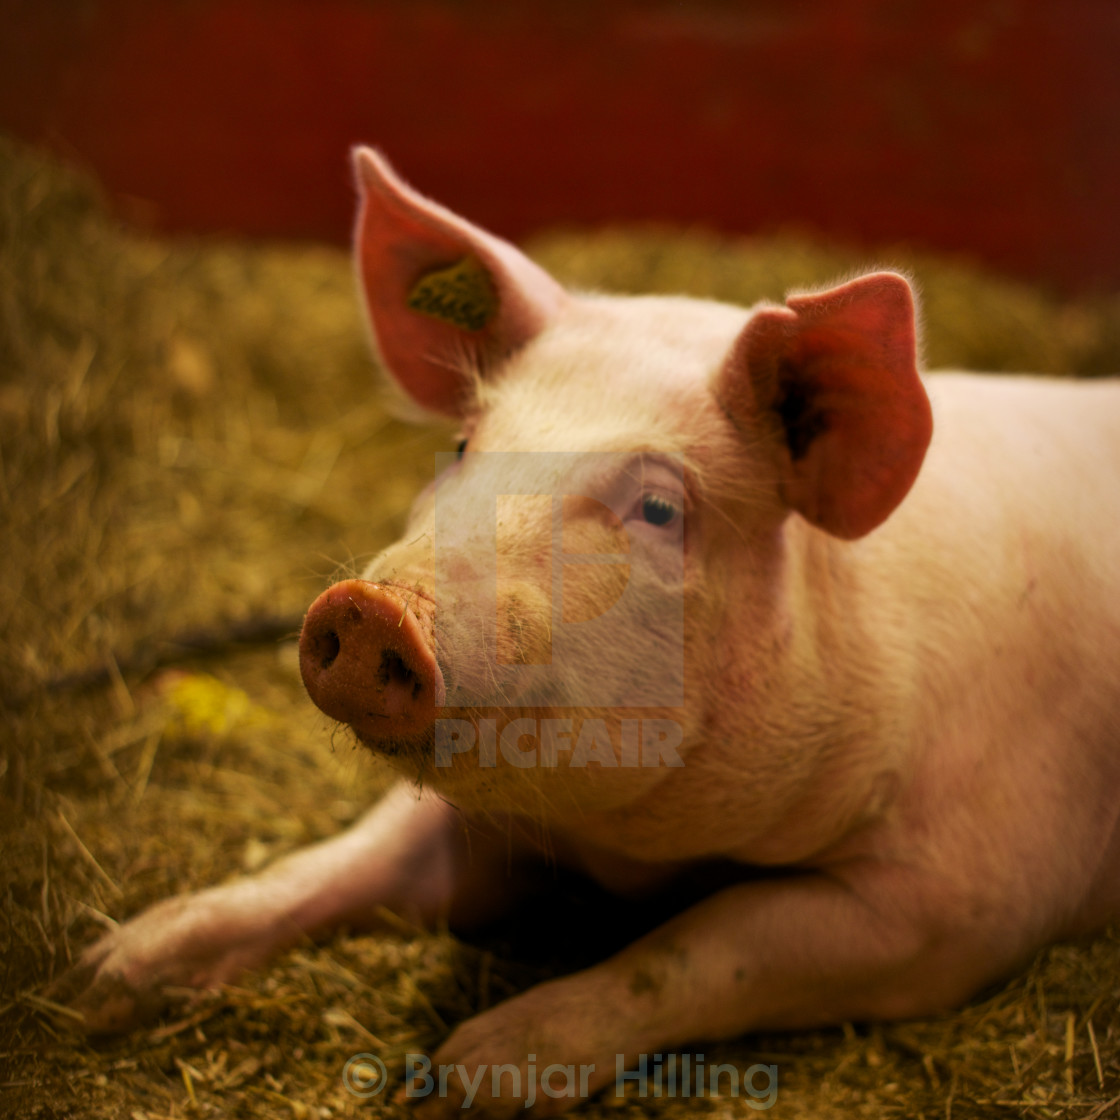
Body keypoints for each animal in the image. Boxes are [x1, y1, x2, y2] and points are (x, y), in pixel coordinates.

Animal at [61, 151, 1120, 1120]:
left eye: (657, 507)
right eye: (462, 446)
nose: (368, 607)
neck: (636, 849)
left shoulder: (961, 906)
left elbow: (704, 946)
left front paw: (463, 1078)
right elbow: (347, 861)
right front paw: (104, 973)